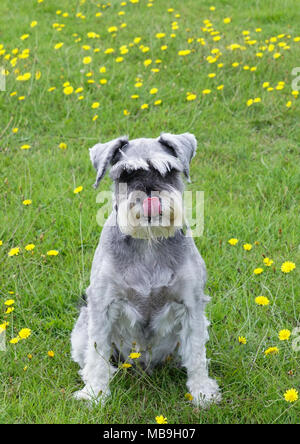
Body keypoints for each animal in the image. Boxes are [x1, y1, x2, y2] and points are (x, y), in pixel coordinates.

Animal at [70, 132, 220, 406]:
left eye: (169, 171)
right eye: (125, 175)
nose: (151, 200)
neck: (149, 243)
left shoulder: (192, 306)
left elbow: (196, 352)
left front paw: (202, 392)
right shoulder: (102, 305)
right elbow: (97, 352)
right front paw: (95, 393)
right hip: (81, 331)